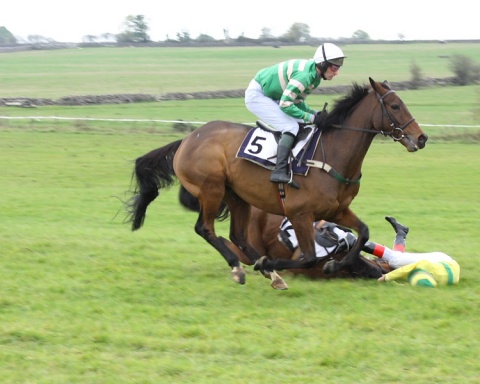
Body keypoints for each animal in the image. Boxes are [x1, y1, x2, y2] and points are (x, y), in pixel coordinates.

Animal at [126, 78, 428, 286]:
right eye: (395, 106)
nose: (421, 137)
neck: (331, 154)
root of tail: (187, 139)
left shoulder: (337, 209)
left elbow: (363, 232)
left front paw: (334, 265)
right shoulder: (300, 213)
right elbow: (308, 257)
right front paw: (279, 263)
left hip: (237, 196)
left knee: (237, 235)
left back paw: (270, 272)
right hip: (212, 189)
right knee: (205, 229)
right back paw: (241, 267)